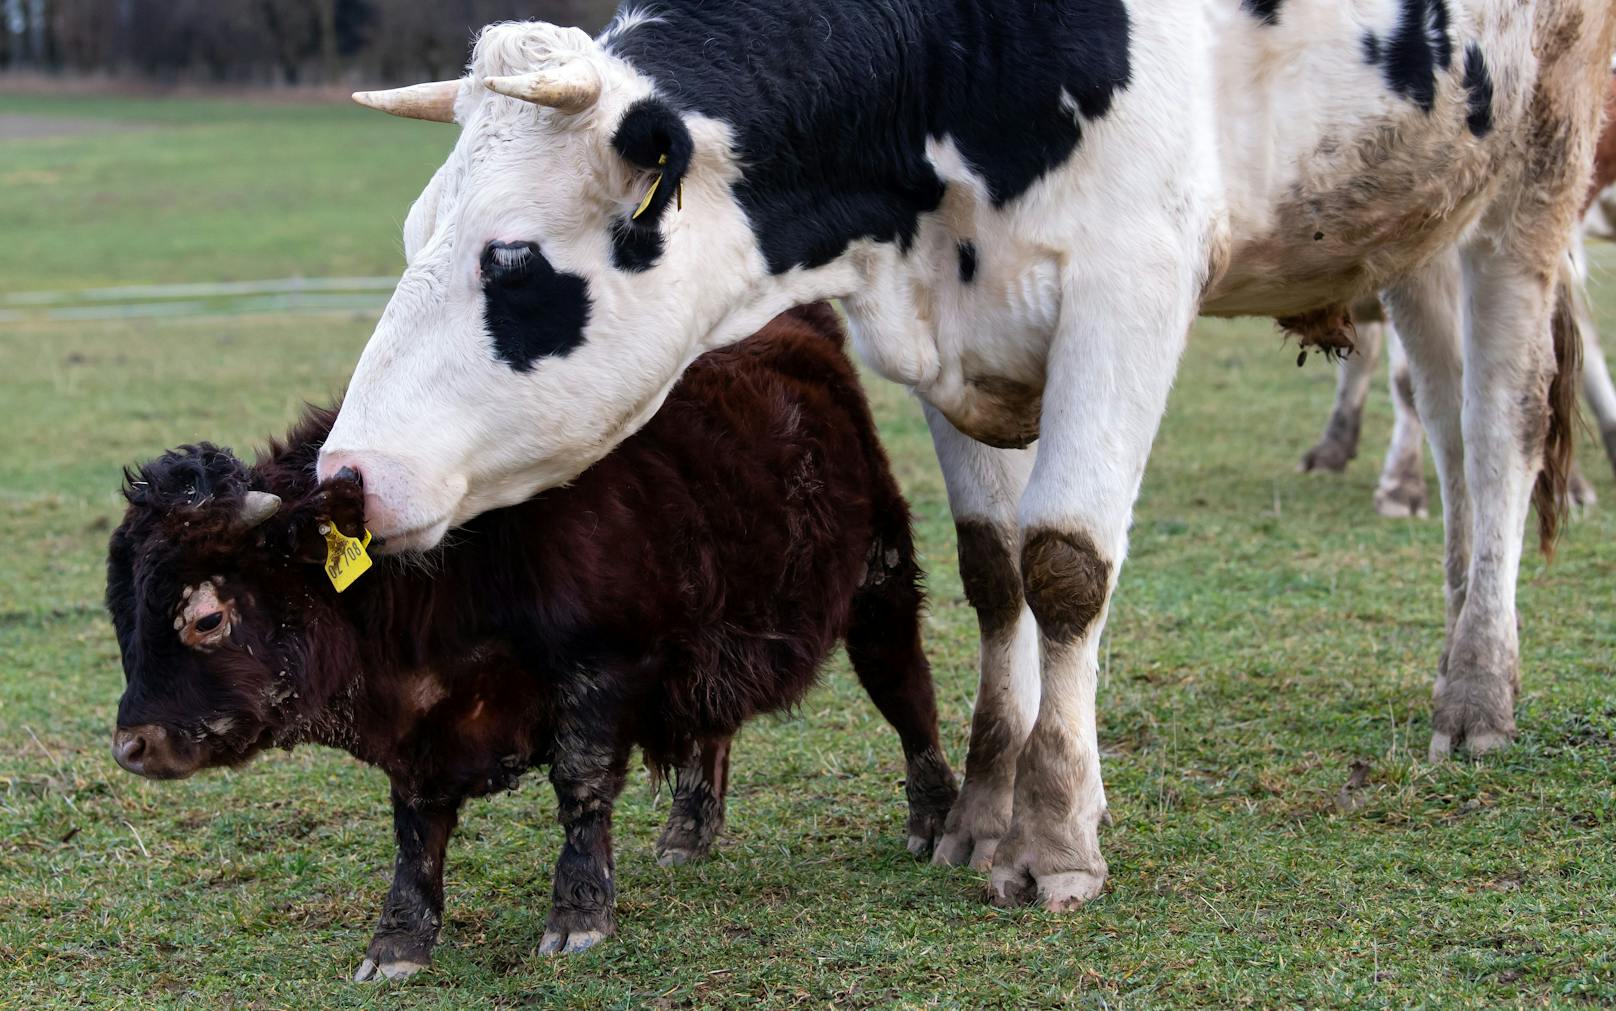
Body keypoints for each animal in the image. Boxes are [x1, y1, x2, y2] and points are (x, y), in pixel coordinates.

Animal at [104, 305, 956, 975]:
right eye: (120, 617)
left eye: (206, 615)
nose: (132, 745)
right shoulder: (421, 729)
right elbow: (415, 828)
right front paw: (396, 944)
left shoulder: (601, 670)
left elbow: (580, 788)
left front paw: (577, 917)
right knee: (713, 722)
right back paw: (688, 831)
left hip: (879, 580)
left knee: (906, 690)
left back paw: (934, 818)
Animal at [318, 1, 1616, 910]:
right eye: (414, 233)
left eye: (511, 260)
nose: (342, 479)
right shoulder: (943, 333)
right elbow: (993, 569)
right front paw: (981, 812)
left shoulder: (1127, 292)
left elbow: (1064, 566)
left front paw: (1051, 838)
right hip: (1414, 212)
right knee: (1438, 414)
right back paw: (1452, 624)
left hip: (1533, 175)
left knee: (1496, 428)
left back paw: (1476, 690)